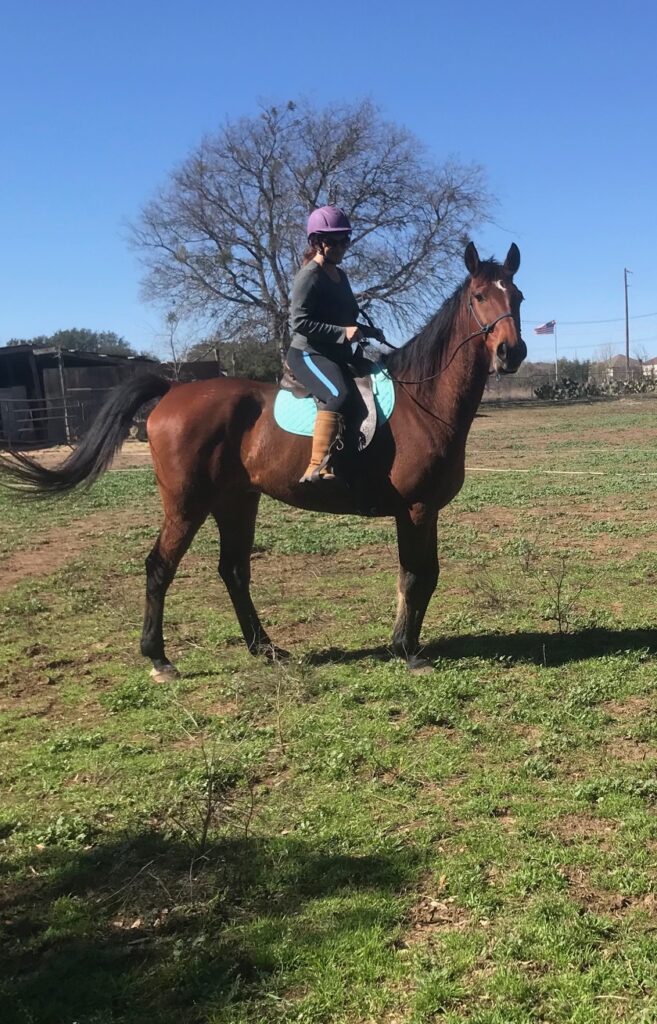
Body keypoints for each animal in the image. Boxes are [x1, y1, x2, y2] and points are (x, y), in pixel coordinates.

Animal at [0, 242, 521, 675]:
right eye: (478, 296)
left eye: (516, 295)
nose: (511, 352)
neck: (422, 401)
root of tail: (172, 390)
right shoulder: (414, 509)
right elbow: (416, 577)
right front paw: (408, 652)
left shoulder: (422, 511)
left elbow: (420, 577)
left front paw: (403, 645)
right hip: (186, 504)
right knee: (159, 567)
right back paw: (159, 658)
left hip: (234, 501)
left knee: (233, 569)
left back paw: (263, 647)